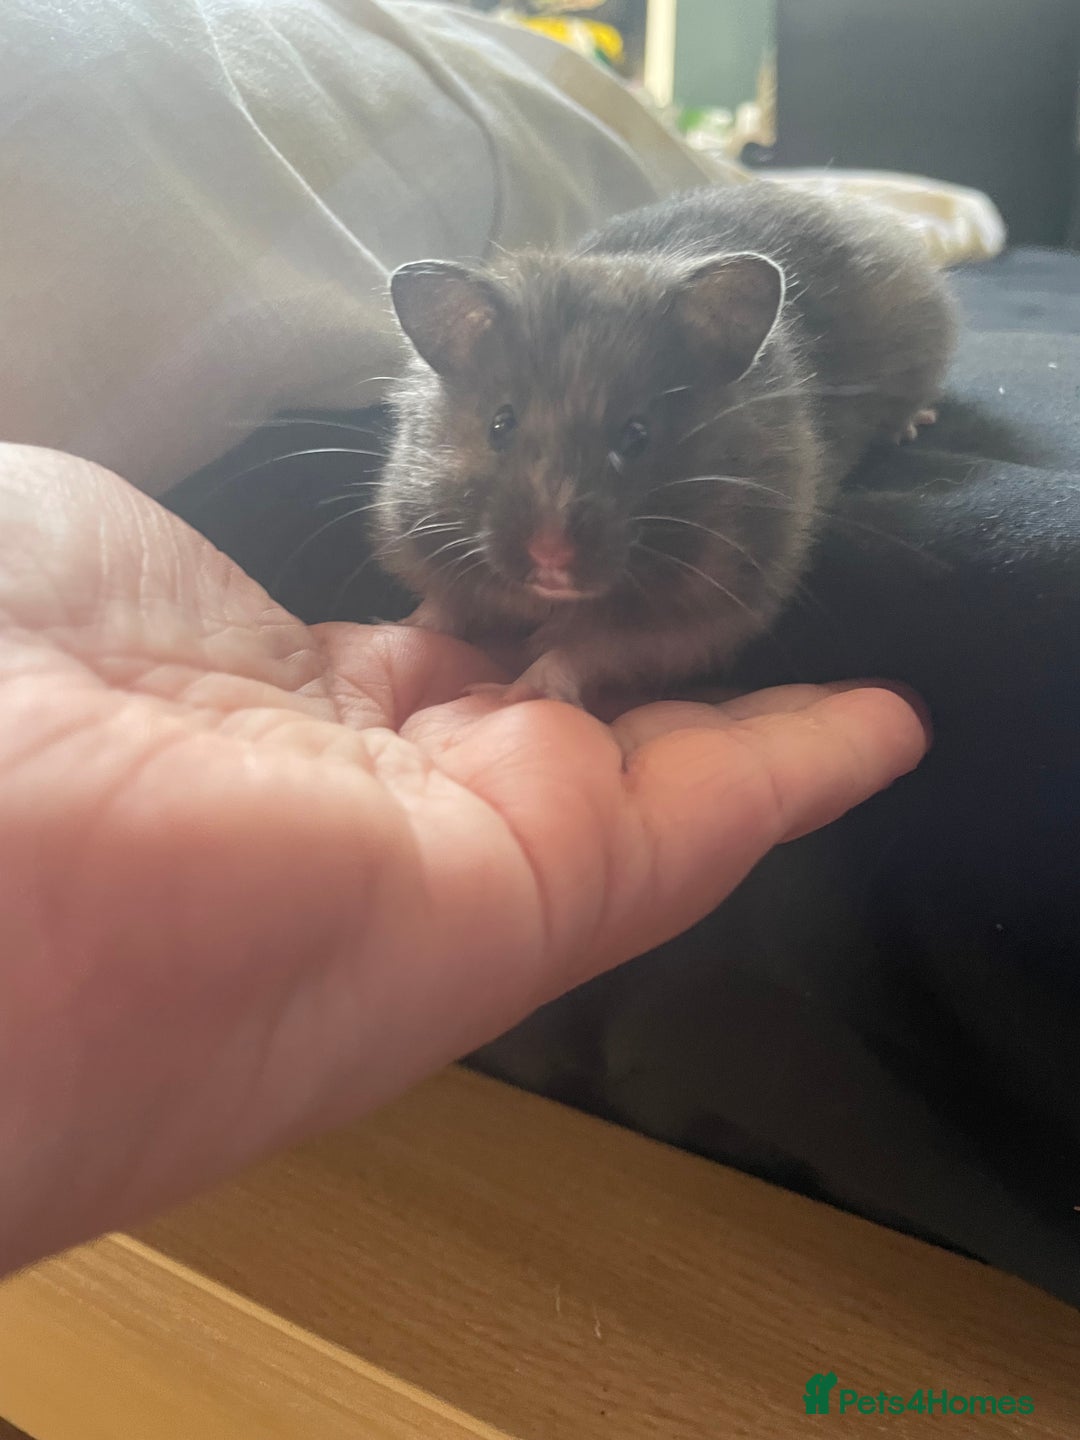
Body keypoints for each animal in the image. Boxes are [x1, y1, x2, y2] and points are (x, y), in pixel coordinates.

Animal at [374, 181, 957, 706]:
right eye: (500, 424)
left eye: (638, 436)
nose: (550, 556)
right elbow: (443, 607)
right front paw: (399, 624)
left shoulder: (701, 619)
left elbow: (581, 653)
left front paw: (506, 691)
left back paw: (912, 423)